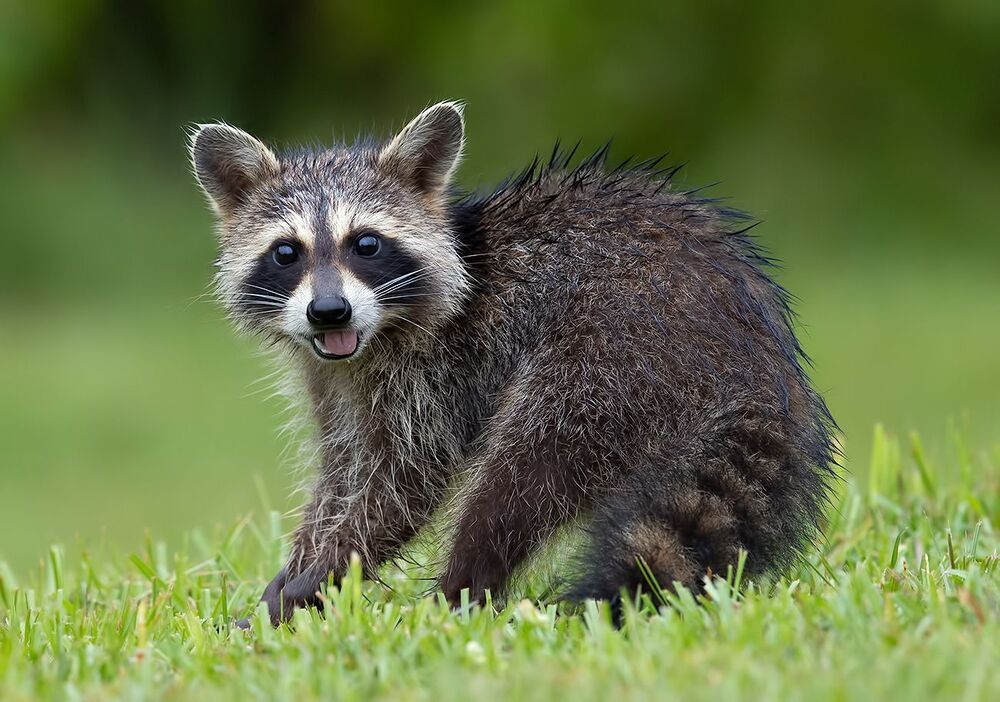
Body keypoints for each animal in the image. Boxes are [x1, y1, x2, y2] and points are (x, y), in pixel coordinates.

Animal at [191, 101, 836, 626]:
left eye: (366, 244)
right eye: (286, 252)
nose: (328, 311)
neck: (371, 338)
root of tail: (761, 361)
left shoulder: (440, 368)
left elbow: (404, 482)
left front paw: (317, 578)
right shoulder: (333, 378)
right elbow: (342, 472)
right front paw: (296, 575)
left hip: (612, 357)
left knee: (520, 477)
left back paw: (458, 594)